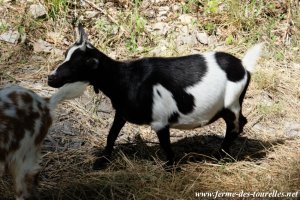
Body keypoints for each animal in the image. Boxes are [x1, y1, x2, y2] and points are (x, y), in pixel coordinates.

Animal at [47, 24, 262, 170]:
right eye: (66, 55)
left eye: (78, 65)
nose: (51, 78)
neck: (126, 79)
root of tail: (243, 67)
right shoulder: (121, 113)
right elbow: (111, 134)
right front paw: (102, 161)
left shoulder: (160, 121)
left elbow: (166, 145)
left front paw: (171, 168)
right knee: (240, 123)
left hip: (231, 104)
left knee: (236, 125)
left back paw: (219, 156)